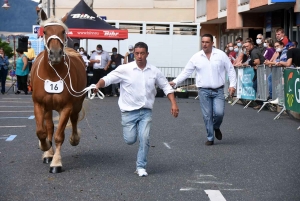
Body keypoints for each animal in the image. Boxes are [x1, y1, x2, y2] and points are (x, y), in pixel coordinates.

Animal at [30, 9, 86, 173]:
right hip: (48, 108)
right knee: (49, 127)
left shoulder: (67, 107)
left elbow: (59, 136)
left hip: (76, 104)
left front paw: (56, 163)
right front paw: (45, 148)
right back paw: (48, 152)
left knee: (74, 119)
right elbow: (41, 131)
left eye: (62, 31)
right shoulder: (39, 105)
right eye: (45, 31)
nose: (55, 54)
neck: (53, 74)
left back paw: (74, 139)